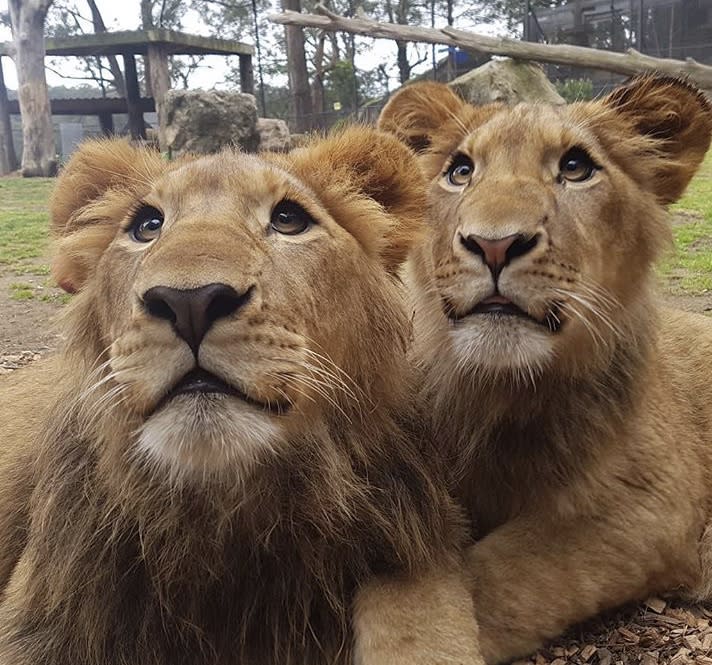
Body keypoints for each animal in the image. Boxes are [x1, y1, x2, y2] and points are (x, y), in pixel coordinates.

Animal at [382, 75, 712, 660]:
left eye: (576, 167)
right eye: (460, 171)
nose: (494, 245)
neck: (498, 388)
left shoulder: (654, 505)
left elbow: (500, 577)